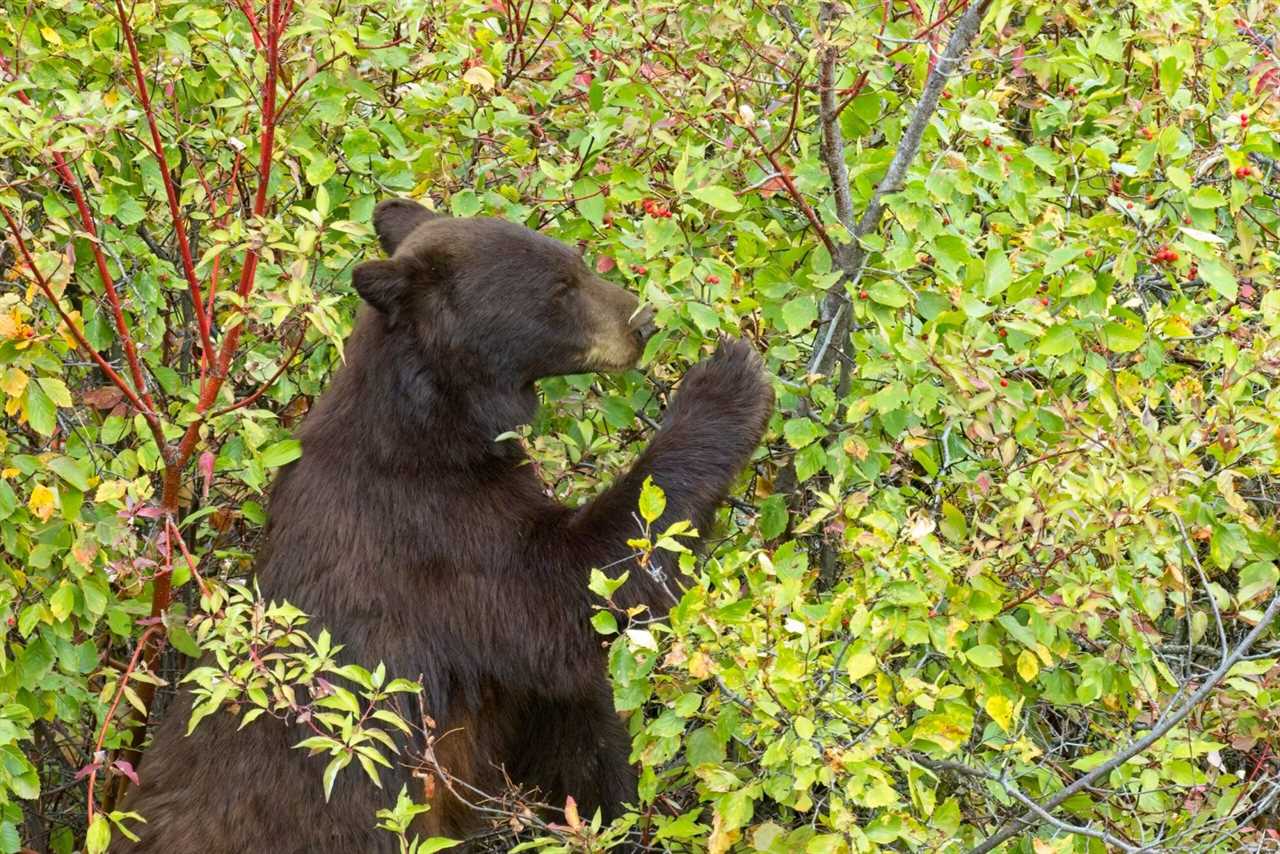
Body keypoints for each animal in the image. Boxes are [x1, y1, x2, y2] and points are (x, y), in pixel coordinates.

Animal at [117, 198, 768, 850]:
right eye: (560, 288)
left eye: (579, 263)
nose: (644, 322)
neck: (435, 427)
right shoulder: (435, 532)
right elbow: (567, 594)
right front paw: (727, 380)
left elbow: (573, 725)